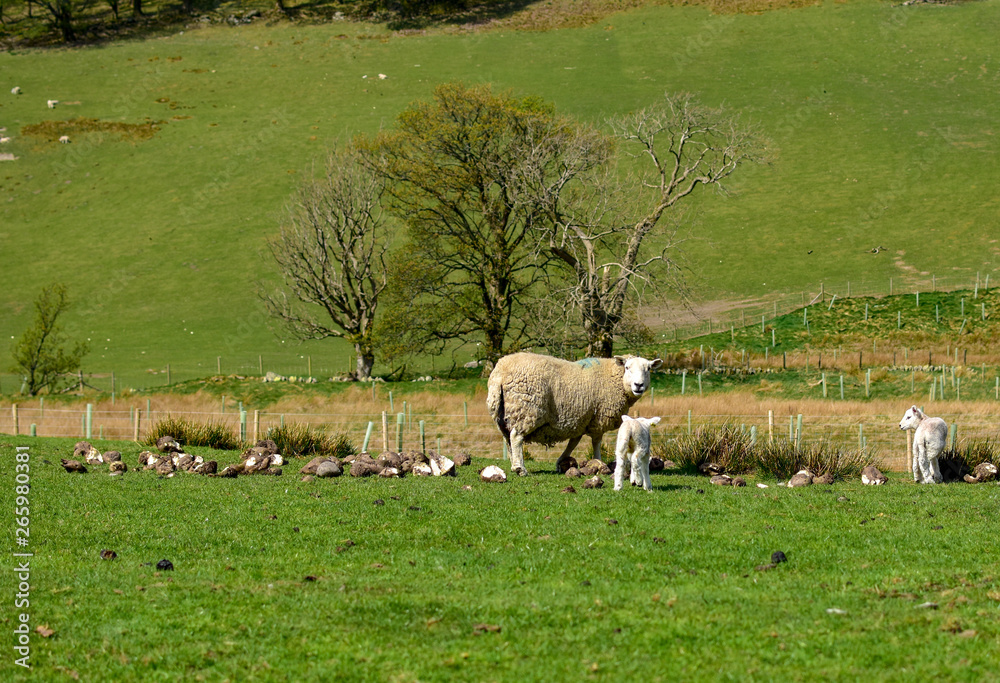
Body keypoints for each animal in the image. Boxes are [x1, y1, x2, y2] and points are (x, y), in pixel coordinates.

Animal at [487, 352, 662, 476]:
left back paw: (513, 465)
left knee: (508, 439)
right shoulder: (598, 418)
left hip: (502, 414)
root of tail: (500, 371)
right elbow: (596, 442)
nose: (638, 385)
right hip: (526, 409)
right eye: (627, 368)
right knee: (516, 437)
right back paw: (520, 468)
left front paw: (560, 462)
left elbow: (574, 442)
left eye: (648, 369)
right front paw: (599, 461)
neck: (613, 377)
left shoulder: (581, 419)